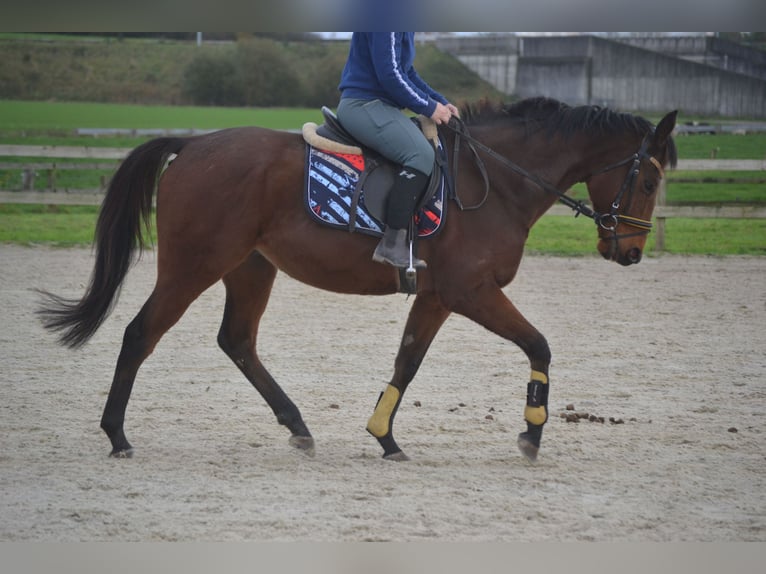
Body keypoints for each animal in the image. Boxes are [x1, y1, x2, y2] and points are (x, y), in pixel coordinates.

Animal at [37, 98, 680, 464]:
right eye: (649, 179)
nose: (630, 252)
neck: (494, 179)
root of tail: (194, 145)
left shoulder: (437, 296)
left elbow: (407, 360)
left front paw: (384, 436)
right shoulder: (471, 292)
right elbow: (539, 345)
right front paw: (532, 433)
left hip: (250, 267)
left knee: (237, 341)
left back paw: (297, 426)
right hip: (194, 265)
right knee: (140, 334)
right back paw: (117, 435)